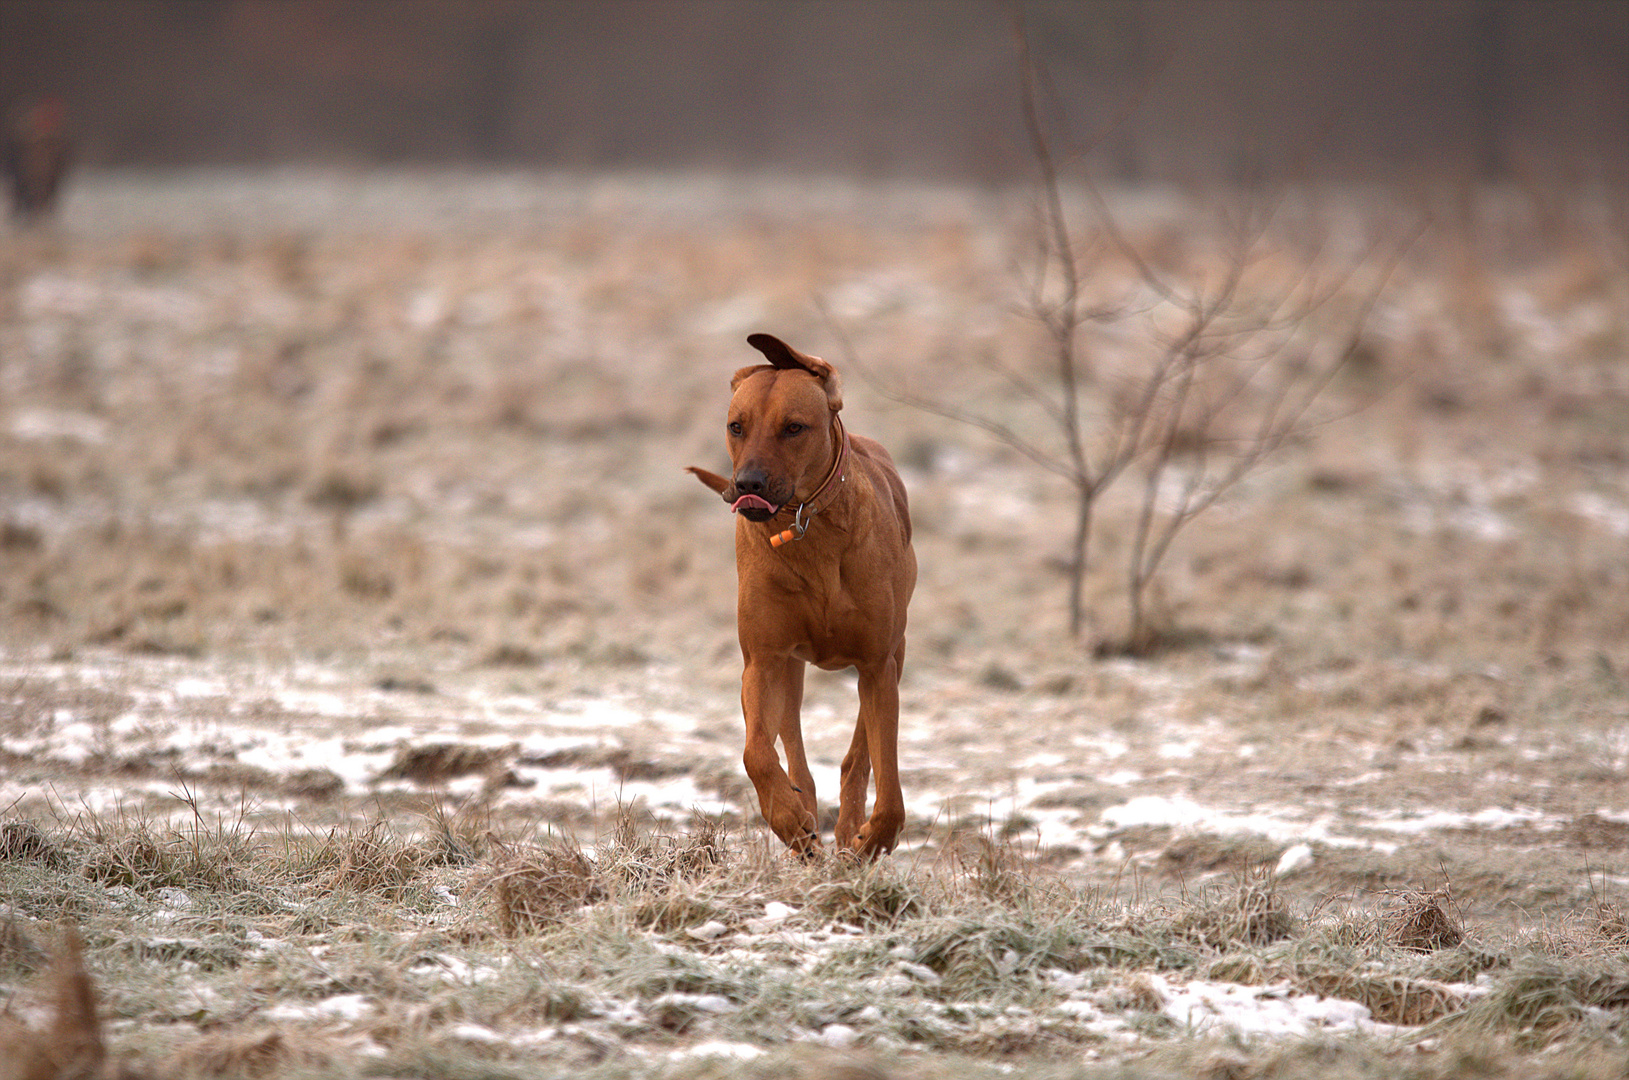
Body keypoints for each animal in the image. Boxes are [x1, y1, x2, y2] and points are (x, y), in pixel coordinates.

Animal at [690, 333, 918, 860]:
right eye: (736, 426)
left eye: (794, 427)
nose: (747, 485)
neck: (809, 532)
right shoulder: (763, 660)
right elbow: (756, 752)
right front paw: (789, 819)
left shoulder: (878, 663)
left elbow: (888, 788)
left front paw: (872, 841)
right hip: (790, 670)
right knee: (791, 748)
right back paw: (804, 816)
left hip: (892, 654)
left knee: (859, 755)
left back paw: (850, 829)